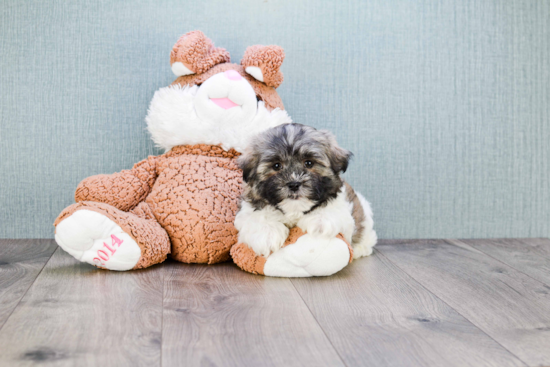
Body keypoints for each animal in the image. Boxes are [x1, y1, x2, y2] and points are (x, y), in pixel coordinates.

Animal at [235, 123, 378, 258]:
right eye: (276, 166)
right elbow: (258, 216)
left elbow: (330, 210)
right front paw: (268, 234)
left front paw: (319, 221)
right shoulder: (249, 209)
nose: (294, 184)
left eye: (309, 163)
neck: (294, 210)